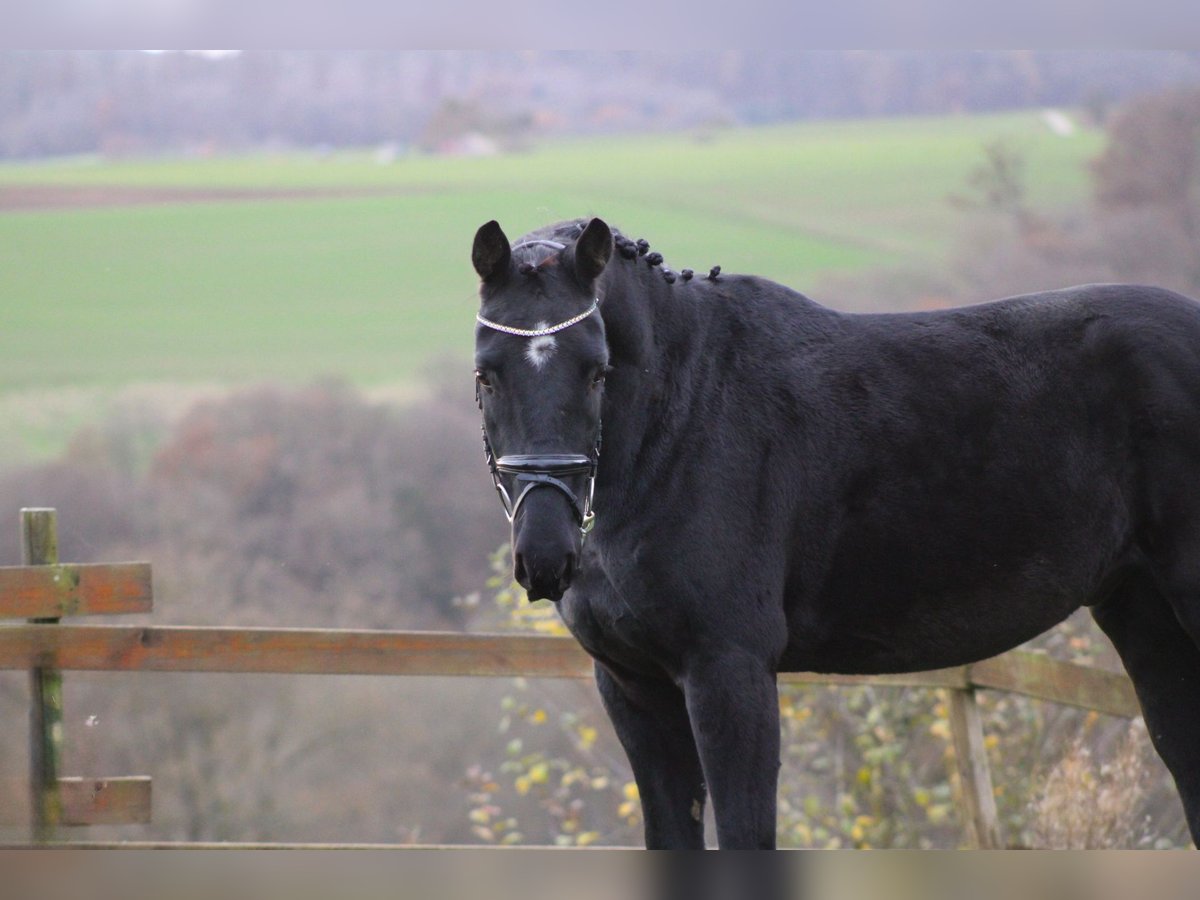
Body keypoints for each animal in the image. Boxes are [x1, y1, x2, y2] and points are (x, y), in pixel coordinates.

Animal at [470, 214, 1200, 849]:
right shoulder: (633, 688)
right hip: (1141, 613)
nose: (545, 554)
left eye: (598, 371)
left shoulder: (729, 673)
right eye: (487, 374)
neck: (681, 418)